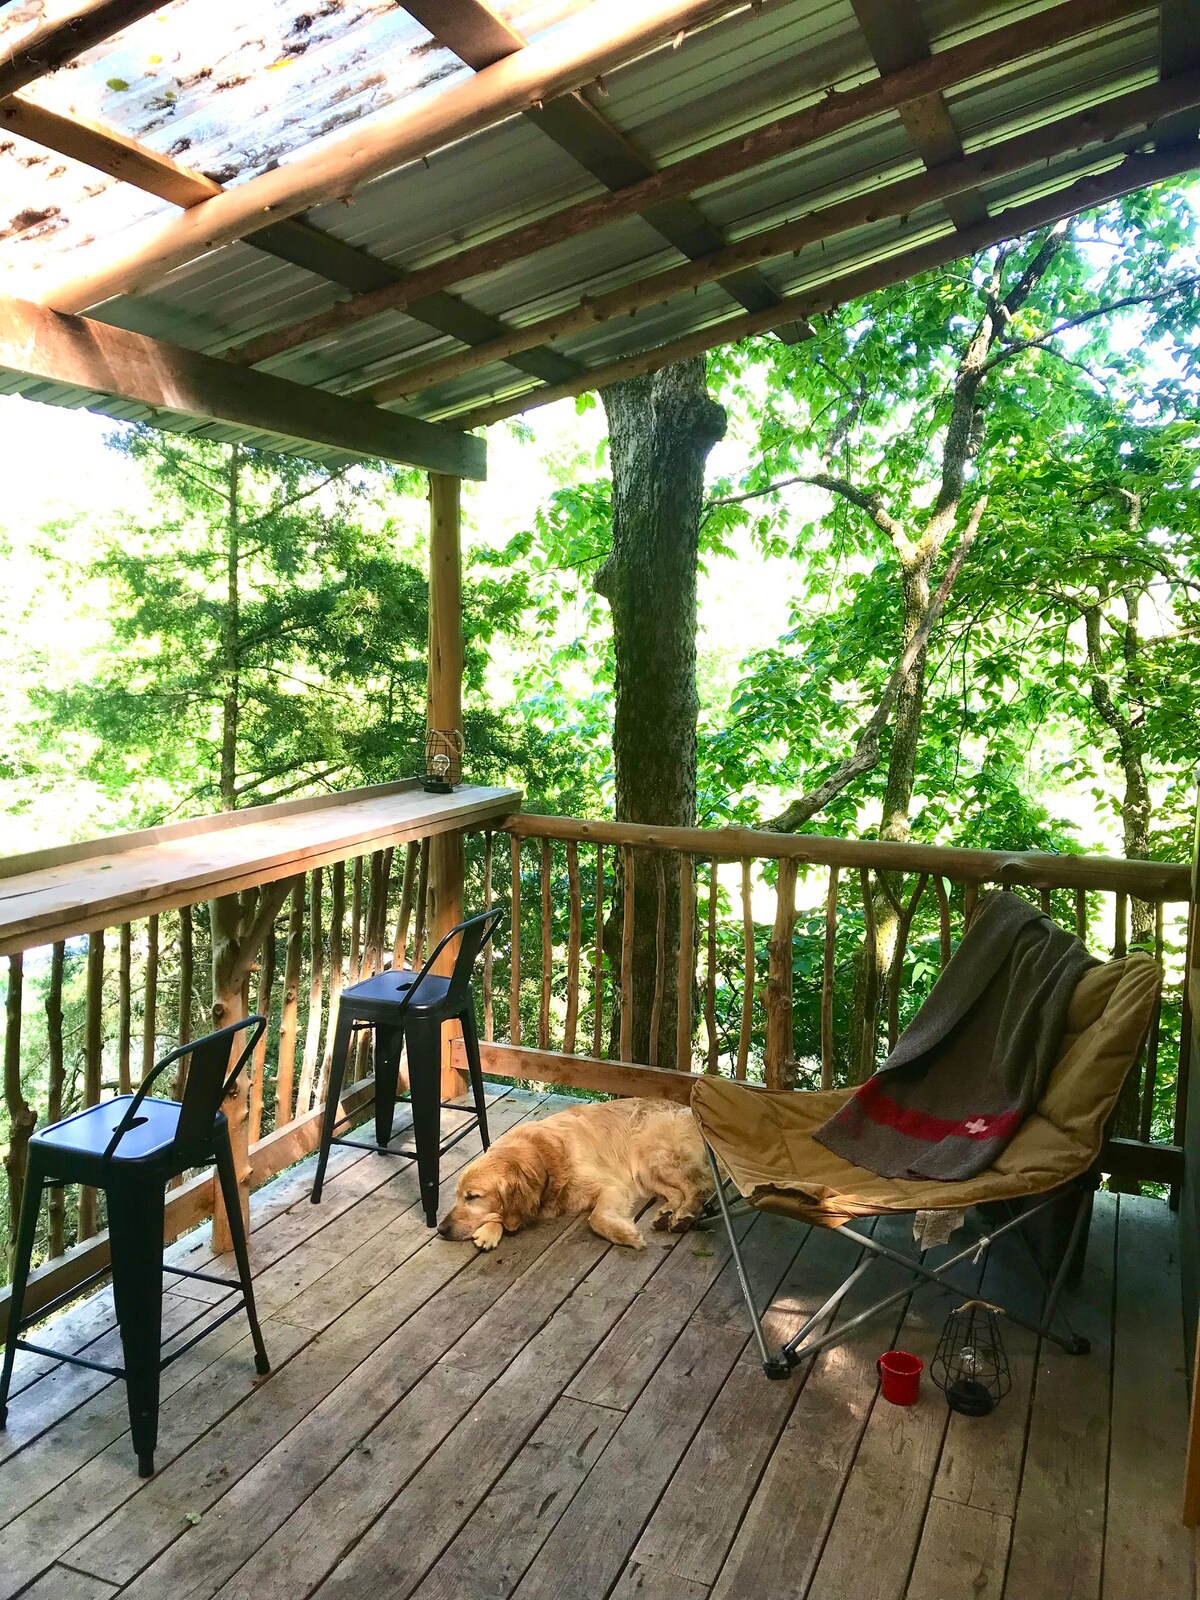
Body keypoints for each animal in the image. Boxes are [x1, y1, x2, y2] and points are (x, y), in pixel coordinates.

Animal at [438, 1100, 710, 1248]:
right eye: (457, 1196)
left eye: (473, 1197)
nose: (440, 1229)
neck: (544, 1157)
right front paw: (490, 1230)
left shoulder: (611, 1186)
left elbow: (596, 1218)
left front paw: (626, 1236)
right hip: (646, 1170)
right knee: (676, 1192)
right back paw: (667, 1213)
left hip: (652, 1155)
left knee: (696, 1187)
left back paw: (684, 1214)